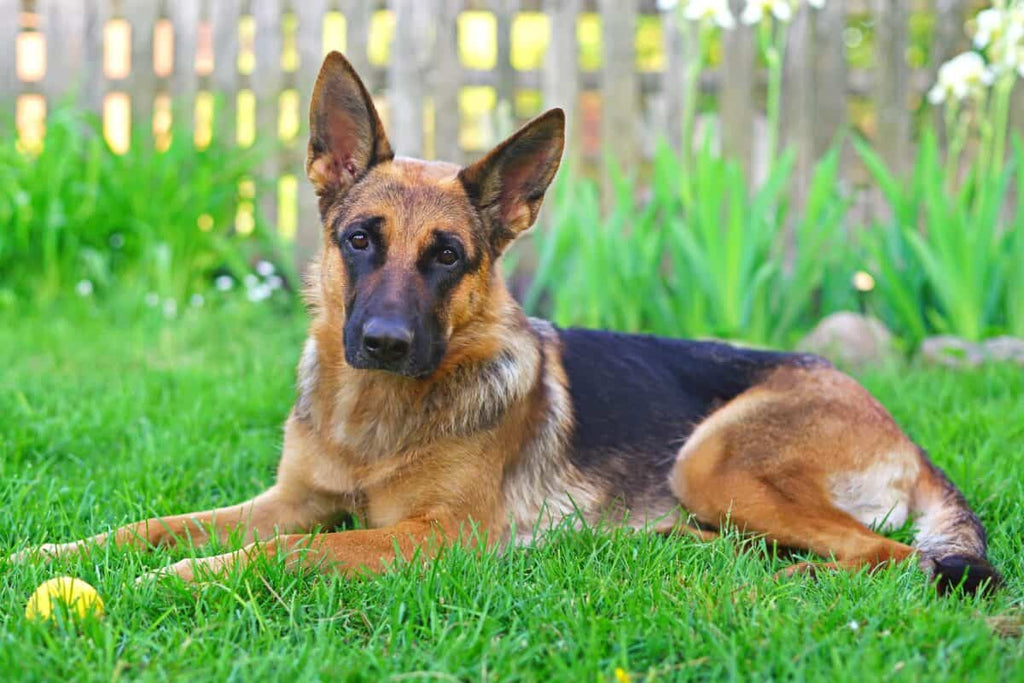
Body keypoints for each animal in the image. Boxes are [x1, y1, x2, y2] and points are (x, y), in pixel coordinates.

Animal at [8, 56, 999, 593]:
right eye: (360, 240)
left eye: (448, 256)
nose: (384, 344)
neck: (375, 421)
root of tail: (899, 428)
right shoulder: (284, 501)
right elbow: (152, 526)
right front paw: (55, 551)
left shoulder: (427, 538)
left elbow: (288, 555)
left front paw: (181, 583)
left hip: (714, 456)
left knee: (881, 555)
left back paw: (792, 581)